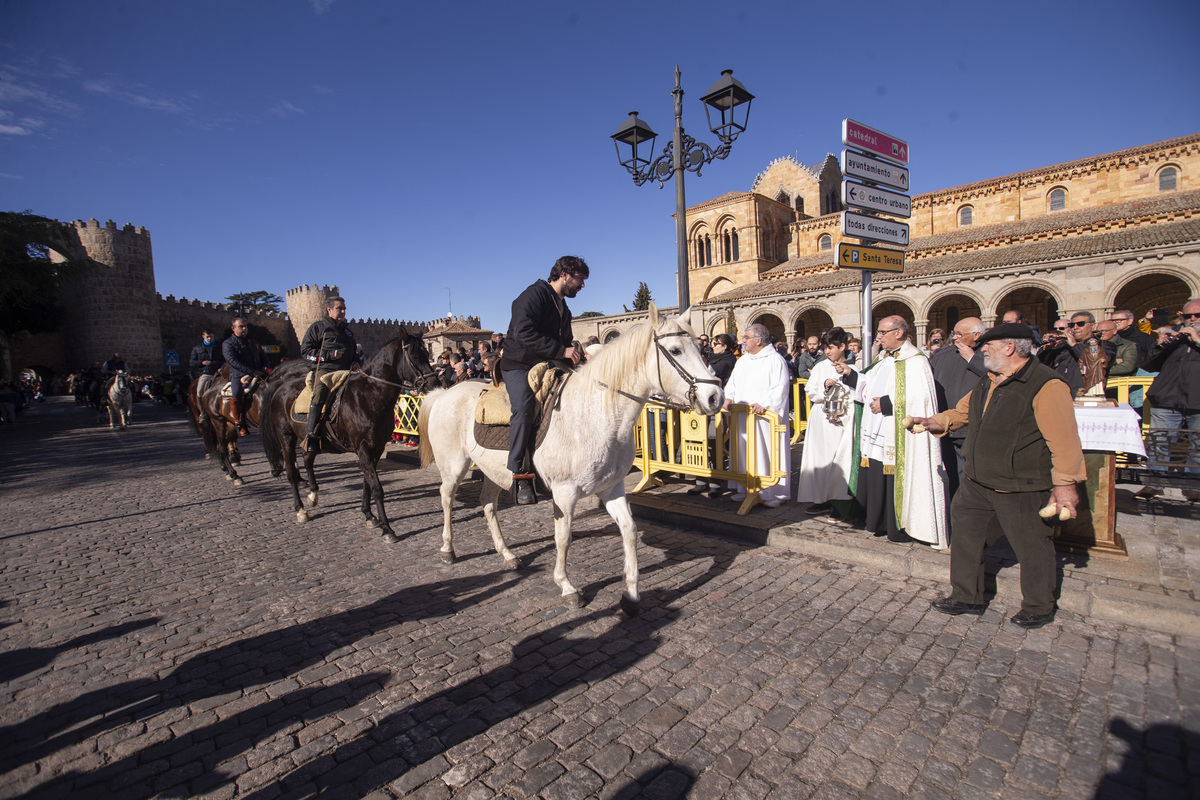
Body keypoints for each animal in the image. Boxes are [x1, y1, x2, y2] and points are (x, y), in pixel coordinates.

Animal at [258, 331, 436, 544]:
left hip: (310, 441)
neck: (370, 396)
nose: (435, 383)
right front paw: (387, 528)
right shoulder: (363, 447)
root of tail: (280, 386)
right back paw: (300, 509)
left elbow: (367, 483)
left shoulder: (375, 448)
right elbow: (376, 487)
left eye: (427, 352)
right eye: (414, 355)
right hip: (286, 438)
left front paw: (369, 515)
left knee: (307, 460)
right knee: (291, 472)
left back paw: (313, 494)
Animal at [422, 303, 720, 618]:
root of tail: (444, 392)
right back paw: (448, 550)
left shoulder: (612, 488)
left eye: (700, 348)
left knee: (488, 505)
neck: (597, 415)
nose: (715, 396)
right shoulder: (564, 494)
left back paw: (508, 555)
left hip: (494, 472)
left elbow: (629, 530)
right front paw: (567, 587)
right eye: (675, 350)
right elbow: (564, 538)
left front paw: (630, 594)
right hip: (454, 467)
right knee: (446, 498)